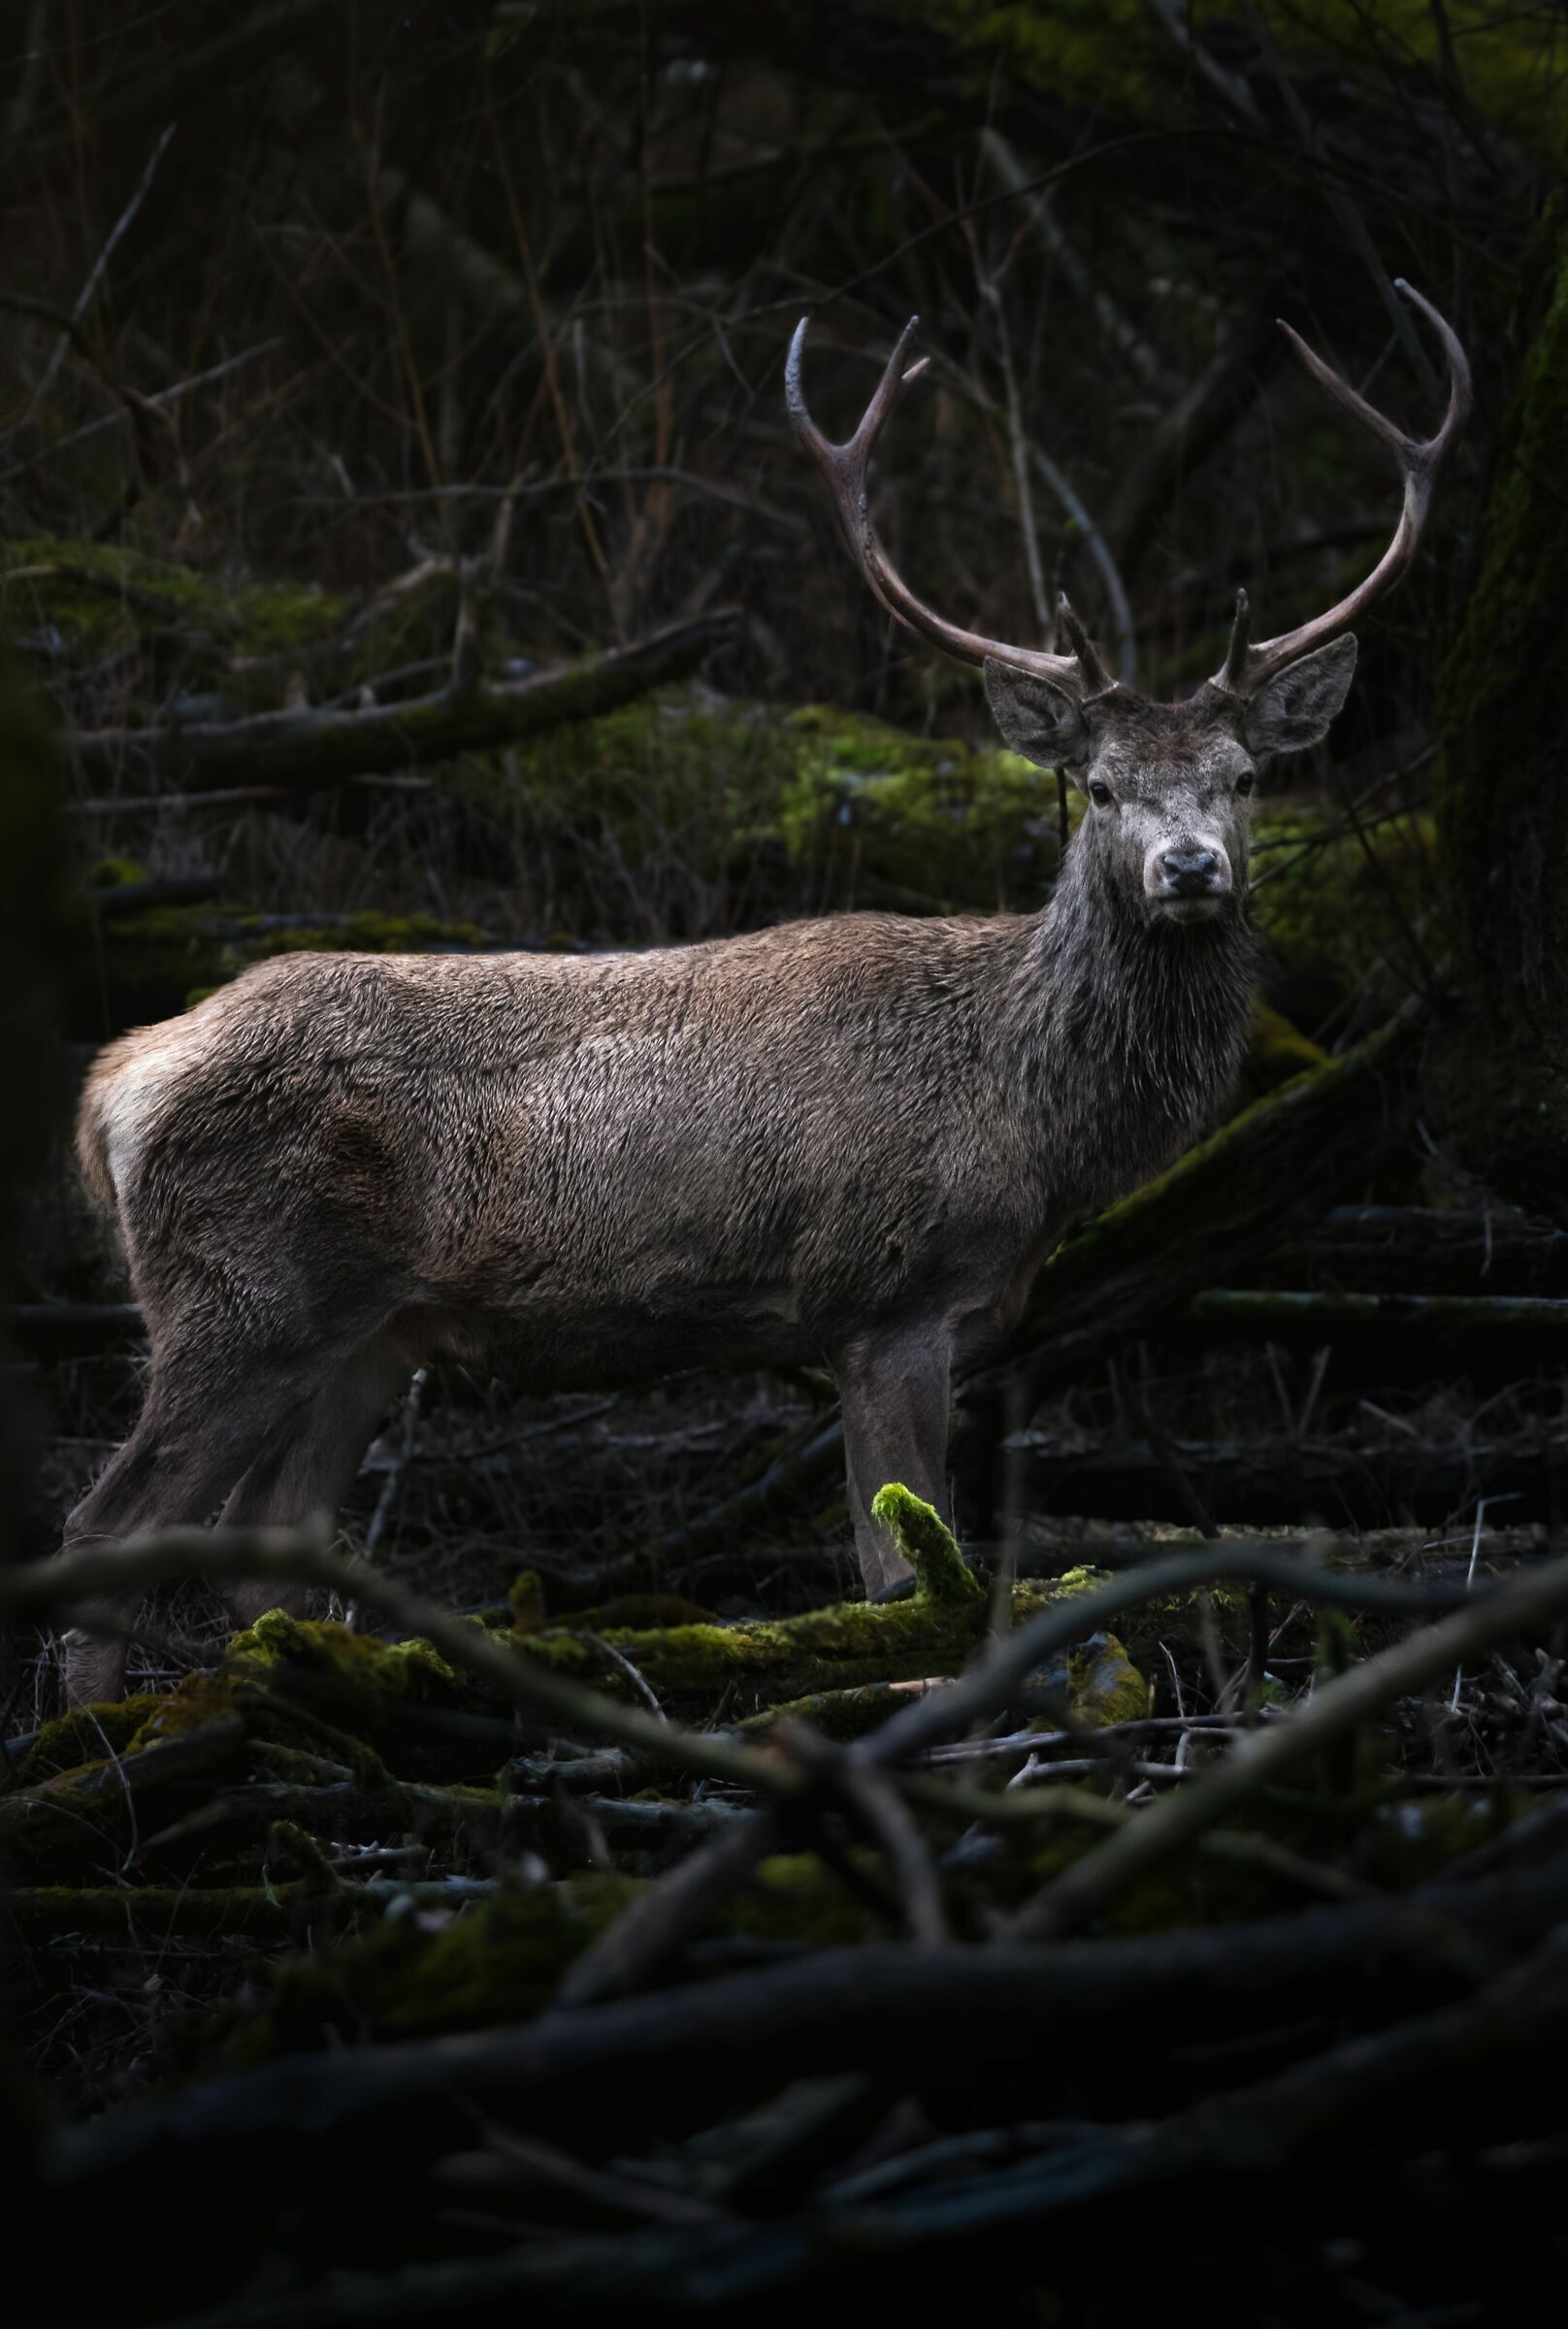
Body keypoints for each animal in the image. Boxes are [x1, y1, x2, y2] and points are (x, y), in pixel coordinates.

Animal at [56, 283, 1468, 1705]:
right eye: (1101, 786)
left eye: (1244, 777)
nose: (1189, 868)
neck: (1029, 1121)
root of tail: (117, 1082)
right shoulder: (884, 1293)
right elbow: (901, 1573)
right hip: (241, 1293)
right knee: (106, 1528)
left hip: (369, 1333)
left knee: (263, 1551)